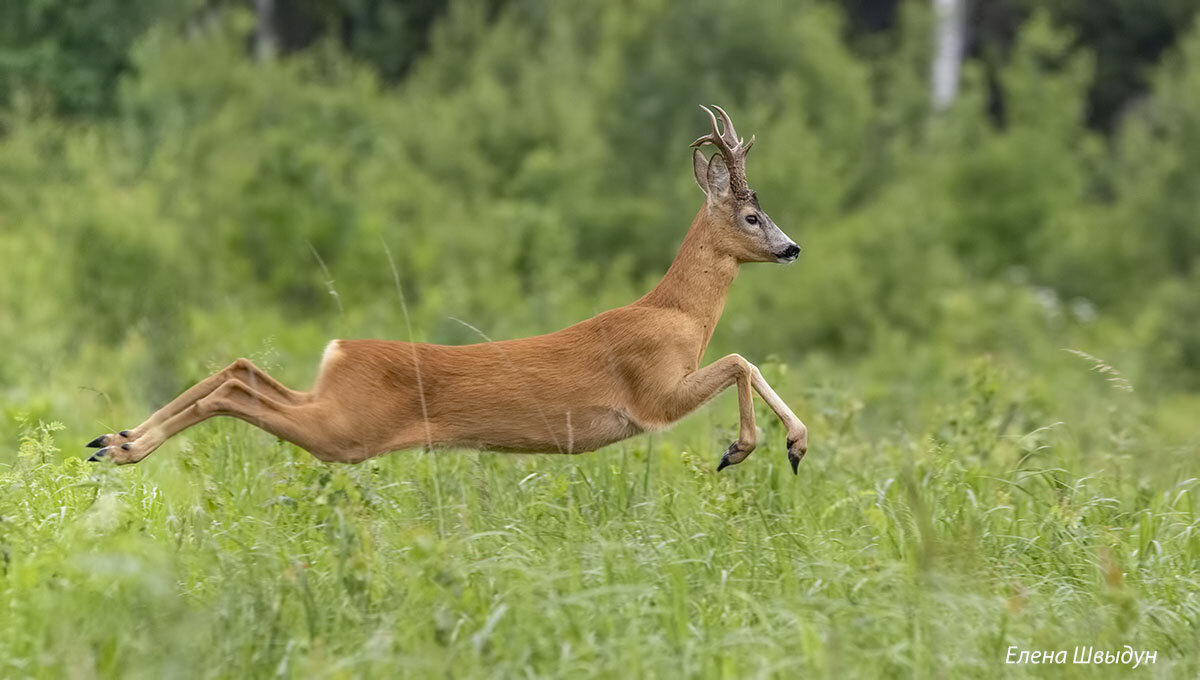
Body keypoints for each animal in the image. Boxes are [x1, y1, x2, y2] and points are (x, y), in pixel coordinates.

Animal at [88, 106, 811, 472]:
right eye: (752, 215)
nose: (792, 248)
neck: (678, 314)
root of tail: (340, 349)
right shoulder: (653, 393)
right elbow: (740, 359)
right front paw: (750, 448)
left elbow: (742, 361)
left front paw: (782, 445)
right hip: (346, 430)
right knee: (239, 388)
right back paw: (122, 448)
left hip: (333, 406)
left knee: (242, 368)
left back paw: (114, 442)